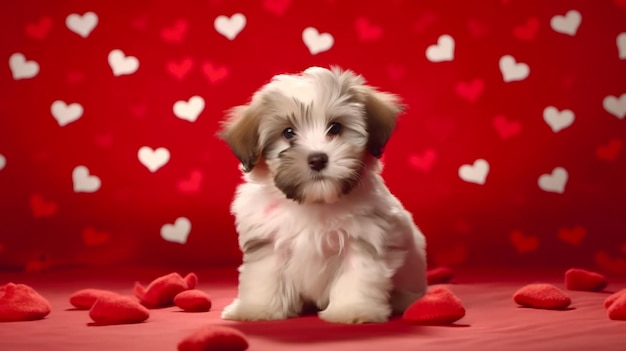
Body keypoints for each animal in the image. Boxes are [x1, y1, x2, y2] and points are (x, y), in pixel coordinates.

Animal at [217, 66, 426, 324]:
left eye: (335, 127)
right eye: (288, 132)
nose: (317, 159)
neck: (314, 202)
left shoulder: (363, 239)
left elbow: (357, 275)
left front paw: (353, 309)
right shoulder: (268, 241)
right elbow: (264, 275)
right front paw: (257, 308)